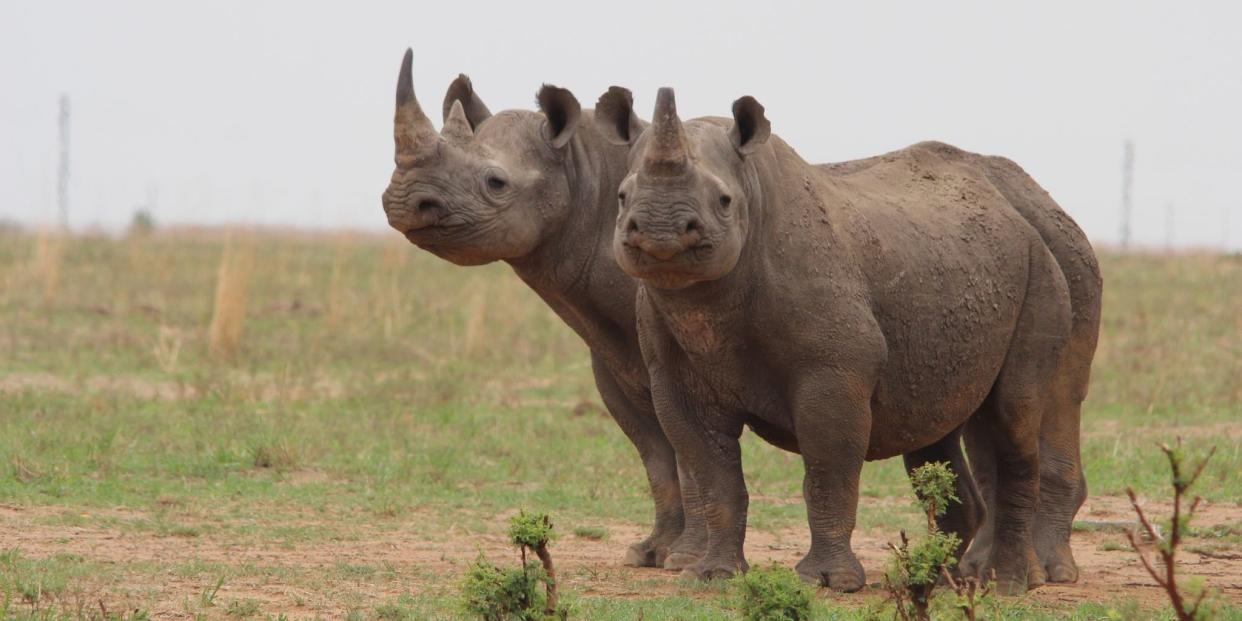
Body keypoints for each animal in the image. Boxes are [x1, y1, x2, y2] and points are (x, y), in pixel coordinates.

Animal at [598, 86, 1078, 591]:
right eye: (621, 196)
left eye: (724, 201)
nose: (660, 231)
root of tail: (1019, 216)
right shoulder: (676, 379)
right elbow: (713, 474)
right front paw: (714, 575)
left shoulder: (834, 370)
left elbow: (828, 471)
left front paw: (829, 581)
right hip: (958, 263)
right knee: (937, 429)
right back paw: (935, 579)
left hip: (1042, 273)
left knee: (1012, 415)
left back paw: (1006, 583)